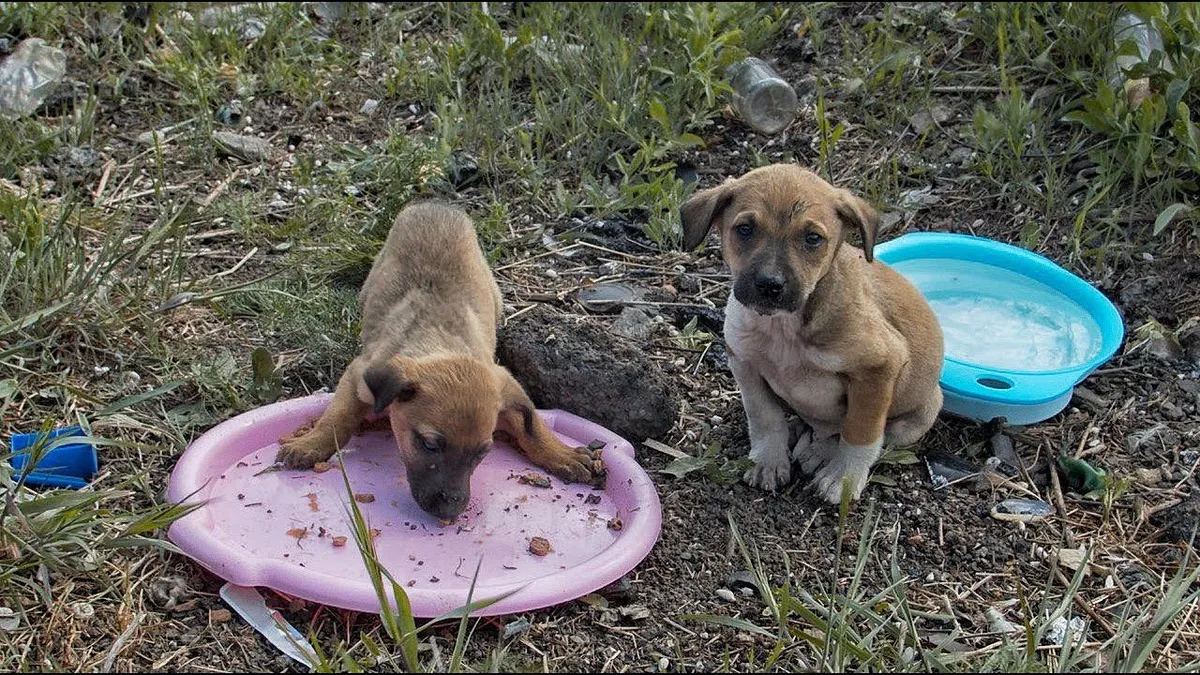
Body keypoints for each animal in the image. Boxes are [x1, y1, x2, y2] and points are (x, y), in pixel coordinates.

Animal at [681, 162, 940, 499]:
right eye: (745, 229)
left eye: (813, 238)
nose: (770, 285)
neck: (783, 328)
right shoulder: (745, 363)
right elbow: (765, 417)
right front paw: (769, 460)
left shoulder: (880, 368)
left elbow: (860, 430)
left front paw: (844, 477)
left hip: (919, 415)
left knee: (853, 431)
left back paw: (820, 451)